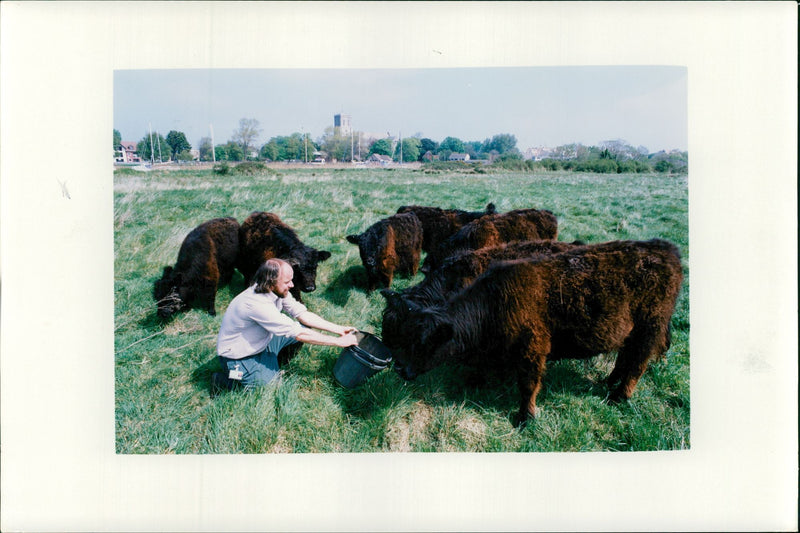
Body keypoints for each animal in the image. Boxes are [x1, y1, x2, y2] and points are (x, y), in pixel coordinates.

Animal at [384, 239, 684, 426]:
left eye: (424, 341)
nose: (398, 367)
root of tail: (665, 249)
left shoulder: (533, 350)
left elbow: (528, 385)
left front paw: (525, 418)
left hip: (649, 329)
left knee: (637, 363)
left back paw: (619, 396)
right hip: (631, 332)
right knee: (625, 358)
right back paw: (609, 381)